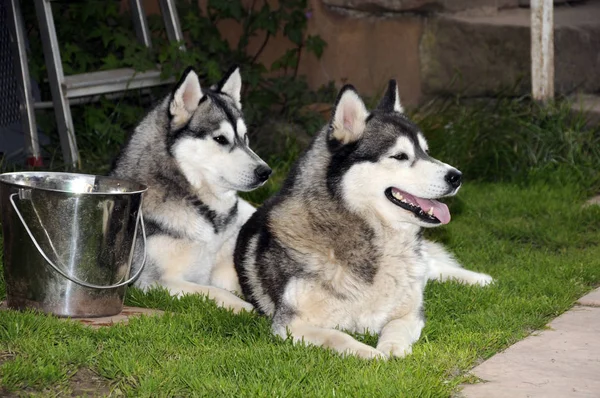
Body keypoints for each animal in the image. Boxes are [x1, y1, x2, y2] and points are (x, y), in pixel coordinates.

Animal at [112, 66, 272, 314]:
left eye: (245, 138)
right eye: (220, 139)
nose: (266, 171)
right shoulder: (153, 283)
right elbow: (214, 291)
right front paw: (245, 306)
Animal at [234, 80, 492, 358]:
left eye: (426, 152)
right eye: (400, 156)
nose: (457, 176)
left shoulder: (411, 313)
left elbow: (396, 327)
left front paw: (393, 349)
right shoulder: (290, 324)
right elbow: (338, 337)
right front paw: (372, 355)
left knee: (432, 266)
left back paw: (479, 279)